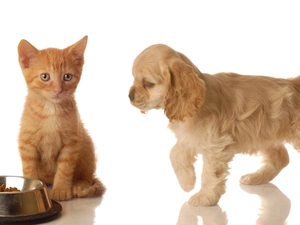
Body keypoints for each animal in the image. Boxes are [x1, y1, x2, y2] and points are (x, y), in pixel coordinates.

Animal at [17, 36, 105, 201]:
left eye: (67, 76)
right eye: (45, 76)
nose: (58, 90)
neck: (51, 110)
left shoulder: (71, 143)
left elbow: (65, 168)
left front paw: (61, 190)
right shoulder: (26, 142)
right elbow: (29, 169)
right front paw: (30, 187)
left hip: (86, 144)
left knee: (87, 177)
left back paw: (79, 185)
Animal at [127, 43, 300, 206]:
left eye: (148, 83)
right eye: (134, 78)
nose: (129, 96)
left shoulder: (216, 146)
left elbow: (209, 173)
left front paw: (204, 198)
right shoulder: (189, 137)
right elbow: (175, 153)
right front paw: (187, 182)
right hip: (264, 134)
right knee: (281, 157)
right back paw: (255, 177)